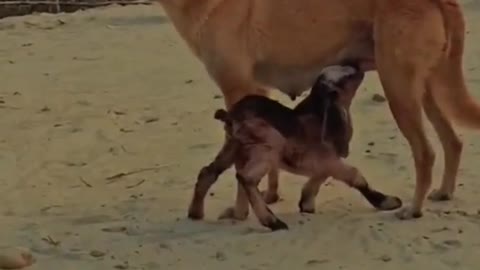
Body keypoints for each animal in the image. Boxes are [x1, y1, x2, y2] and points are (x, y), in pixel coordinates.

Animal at [188, 65, 402, 230]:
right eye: (346, 77)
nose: (359, 69)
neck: (319, 117)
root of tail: (230, 116)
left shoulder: (323, 161)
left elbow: (320, 177)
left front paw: (306, 203)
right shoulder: (327, 159)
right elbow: (355, 176)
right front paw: (388, 202)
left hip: (234, 147)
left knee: (209, 172)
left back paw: (197, 213)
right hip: (267, 148)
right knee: (246, 177)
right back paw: (272, 222)